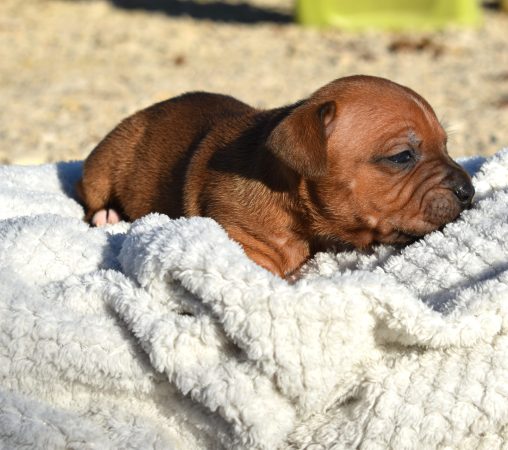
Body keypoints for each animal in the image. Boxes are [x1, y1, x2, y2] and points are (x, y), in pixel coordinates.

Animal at [77, 75, 474, 276]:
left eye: (446, 145)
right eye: (402, 156)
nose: (469, 191)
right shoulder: (246, 250)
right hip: (104, 164)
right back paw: (107, 215)